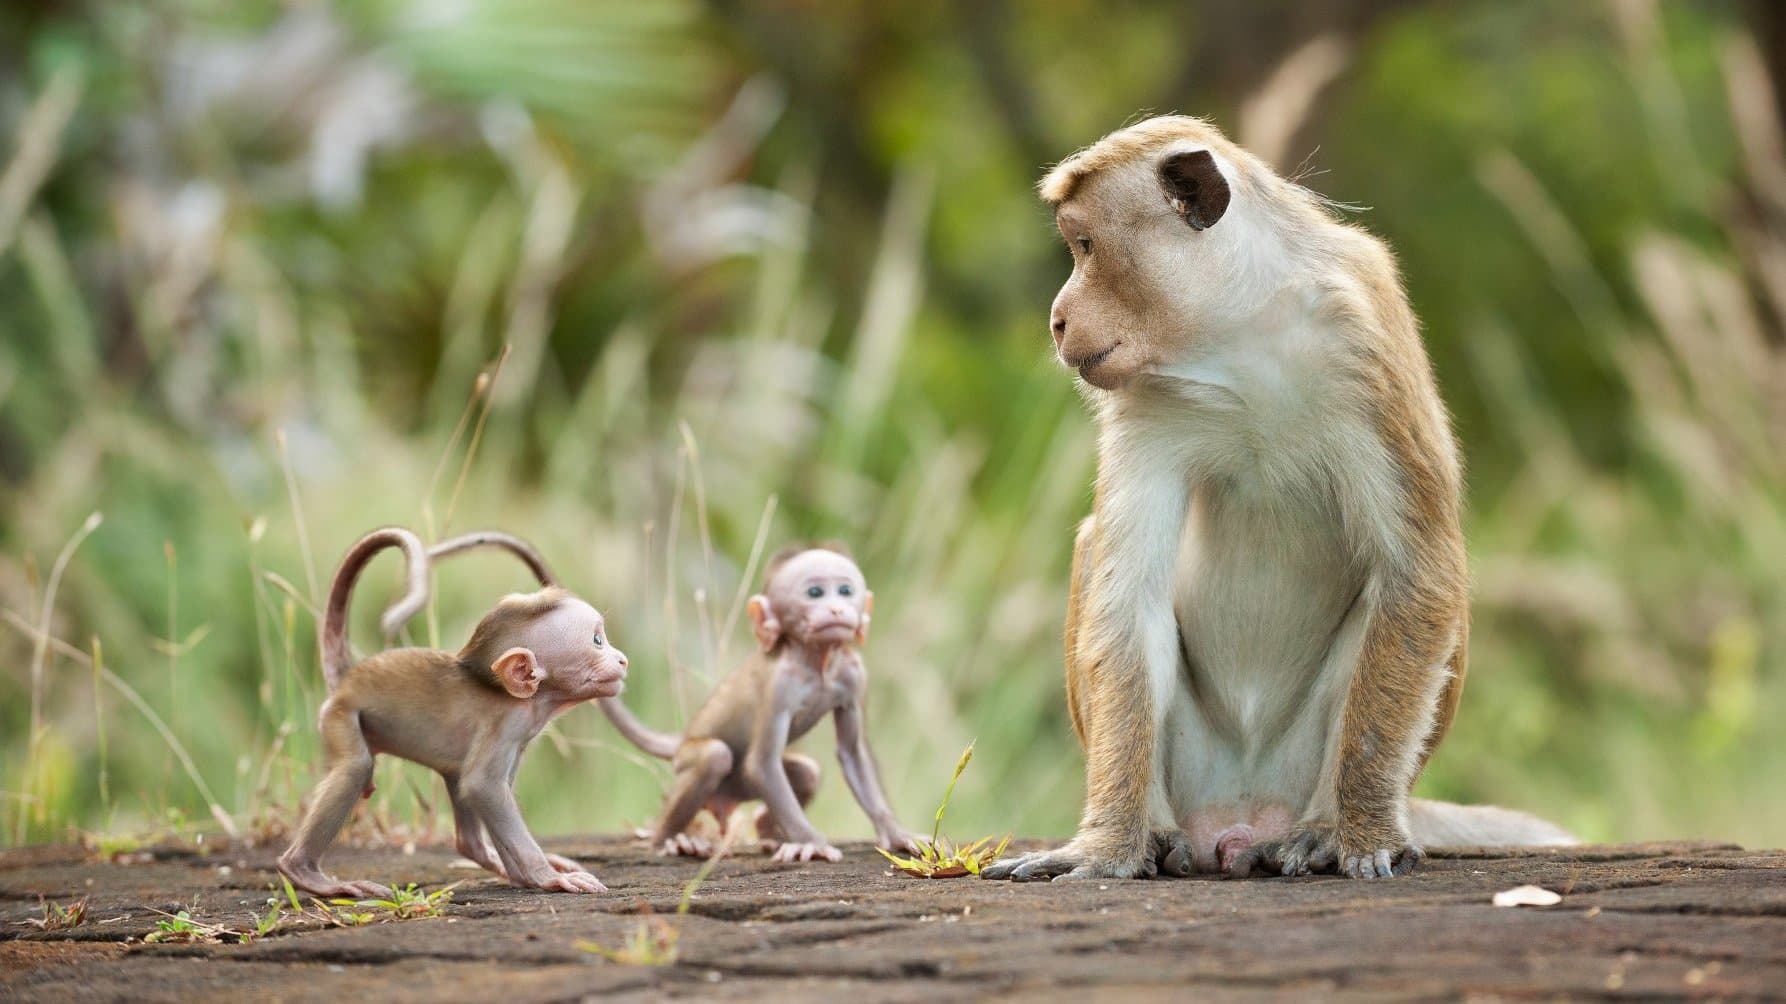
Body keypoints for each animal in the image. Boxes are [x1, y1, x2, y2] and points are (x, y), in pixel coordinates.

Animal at [276, 527, 629, 898]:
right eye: (597, 641)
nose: (622, 660)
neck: (529, 700)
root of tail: (349, 676)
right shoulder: (505, 725)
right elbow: (483, 786)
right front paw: (547, 876)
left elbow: (486, 789)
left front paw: (523, 875)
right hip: (341, 715)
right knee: (357, 768)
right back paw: (305, 872)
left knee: (456, 789)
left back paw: (483, 855)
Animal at [598, 545, 921, 863]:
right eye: (814, 592)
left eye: (845, 590)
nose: (837, 609)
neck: (815, 662)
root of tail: (683, 738)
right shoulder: (779, 686)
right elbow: (762, 763)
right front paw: (811, 842)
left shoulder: (854, 675)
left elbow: (852, 754)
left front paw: (896, 834)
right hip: (689, 762)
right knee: (714, 756)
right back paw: (669, 838)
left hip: (739, 787)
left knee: (807, 773)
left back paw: (768, 831)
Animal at [982, 116, 1574, 884]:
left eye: (1085, 246)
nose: (1057, 320)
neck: (1239, 336)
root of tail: (1240, 819)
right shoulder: (1146, 400)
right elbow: (1128, 598)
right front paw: (1107, 846)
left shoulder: (1364, 340)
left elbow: (1420, 572)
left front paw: (1362, 831)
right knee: (1097, 554)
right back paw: (1160, 832)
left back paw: (1324, 825)